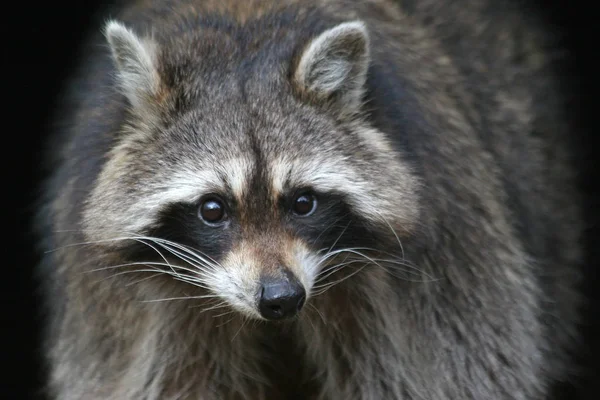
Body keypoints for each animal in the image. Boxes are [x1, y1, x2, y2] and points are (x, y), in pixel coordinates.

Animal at [35, 0, 584, 398]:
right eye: (213, 210)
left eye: (303, 203)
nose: (280, 298)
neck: (245, 27)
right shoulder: (131, 310)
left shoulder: (445, 260)